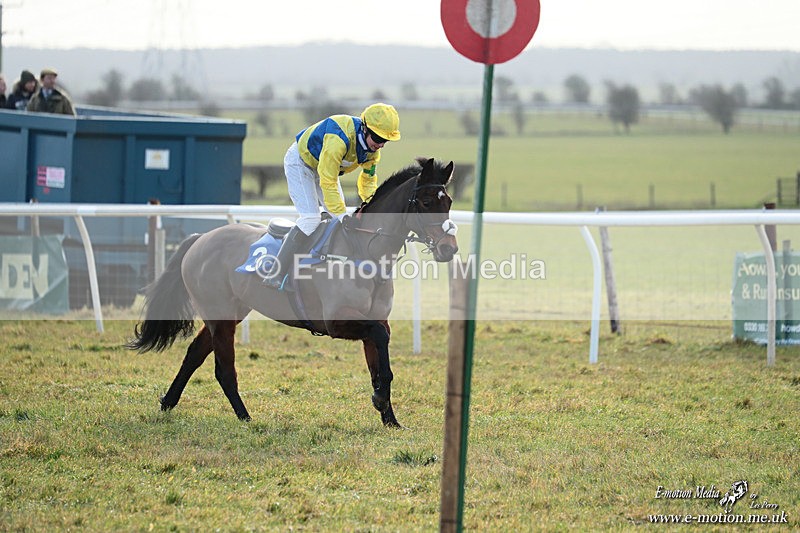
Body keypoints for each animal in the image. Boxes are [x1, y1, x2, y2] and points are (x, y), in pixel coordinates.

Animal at [127, 157, 458, 428]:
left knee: (194, 354)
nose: (449, 248)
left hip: (230, 312)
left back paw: (168, 403)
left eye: (449, 201)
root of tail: (200, 238)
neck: (363, 249)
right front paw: (380, 401)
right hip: (219, 315)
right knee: (224, 369)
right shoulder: (336, 321)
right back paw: (245, 417)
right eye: (426, 202)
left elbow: (380, 363)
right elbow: (378, 339)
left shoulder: (375, 319)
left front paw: (390, 418)